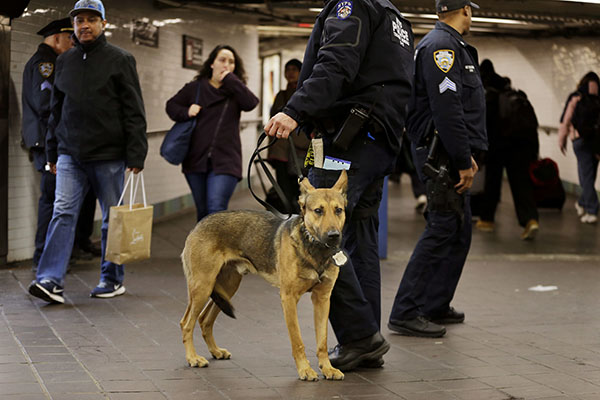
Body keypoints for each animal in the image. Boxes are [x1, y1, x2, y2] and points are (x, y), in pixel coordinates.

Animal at [178, 170, 346, 382]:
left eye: (338, 210)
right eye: (318, 211)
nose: (333, 235)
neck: (315, 248)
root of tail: (198, 224)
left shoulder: (322, 299)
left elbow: (322, 341)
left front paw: (327, 368)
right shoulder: (289, 298)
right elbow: (297, 340)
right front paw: (305, 370)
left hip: (227, 287)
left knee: (204, 319)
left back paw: (215, 351)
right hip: (202, 286)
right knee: (186, 323)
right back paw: (192, 358)